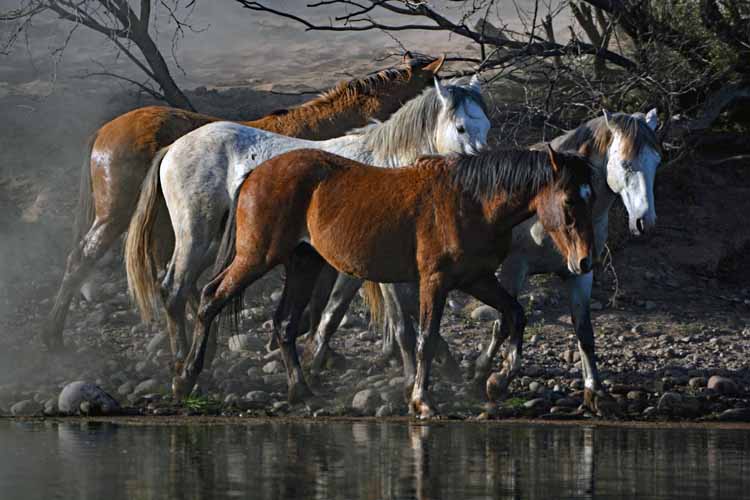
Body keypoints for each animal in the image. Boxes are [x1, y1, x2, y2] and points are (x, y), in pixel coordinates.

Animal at [126, 78, 494, 374]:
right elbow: (394, 317)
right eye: (461, 128)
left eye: (487, 125)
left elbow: (335, 310)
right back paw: (182, 361)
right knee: (174, 289)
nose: (483, 166)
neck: (388, 166)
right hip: (197, 236)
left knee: (190, 288)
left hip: (215, 241)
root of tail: (173, 147)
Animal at [173, 146, 596, 418]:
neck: (472, 201)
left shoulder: (476, 279)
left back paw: (301, 392)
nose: (584, 261)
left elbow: (516, 315)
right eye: (570, 201)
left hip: (303, 263)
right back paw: (185, 378)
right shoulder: (434, 281)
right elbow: (426, 341)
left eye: (591, 197)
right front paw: (422, 402)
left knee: (285, 324)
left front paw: (497, 381)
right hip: (257, 257)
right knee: (211, 298)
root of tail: (254, 175)